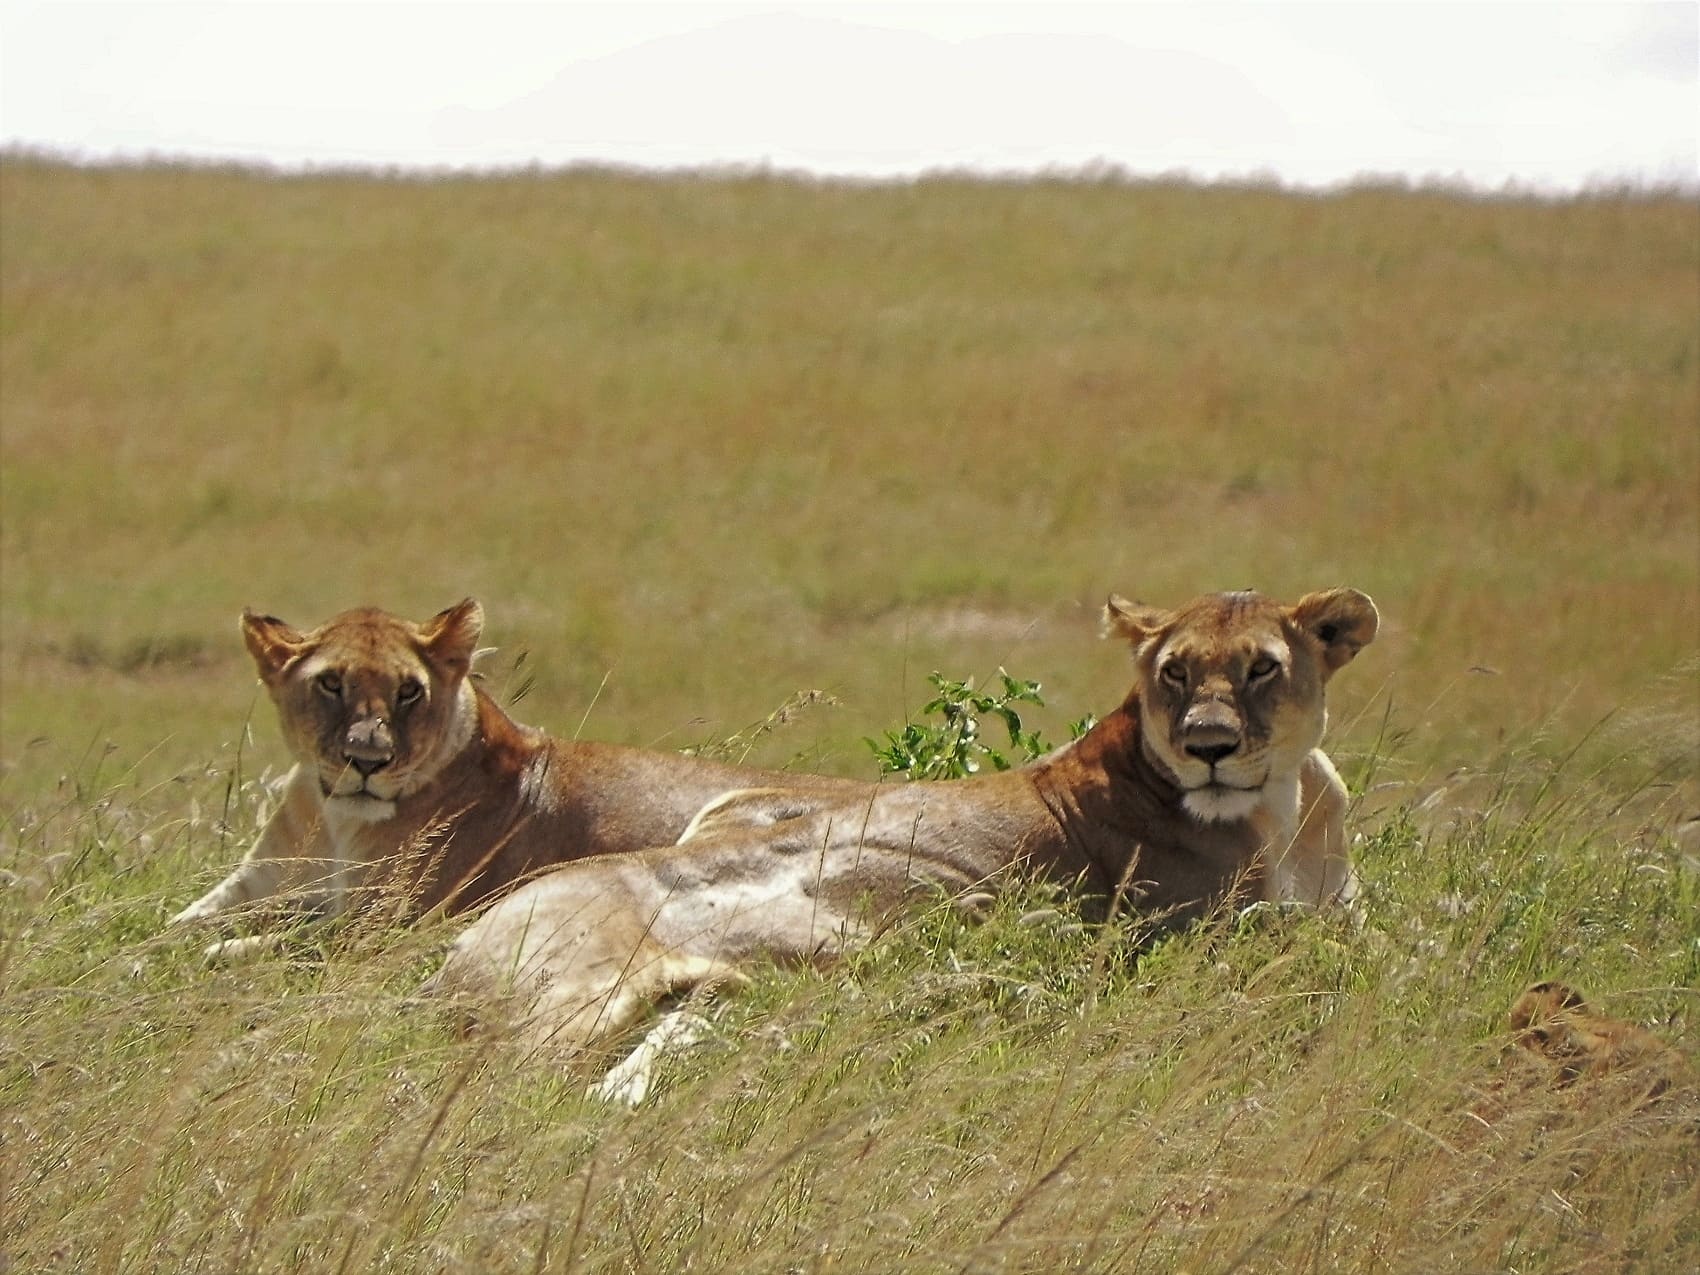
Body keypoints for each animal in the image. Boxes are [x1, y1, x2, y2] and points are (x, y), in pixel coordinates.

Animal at [428, 584, 1380, 1101]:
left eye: (1261, 667)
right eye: (1175, 671)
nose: (1209, 744)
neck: (1290, 803)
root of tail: (461, 947)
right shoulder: (1200, 940)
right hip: (579, 996)